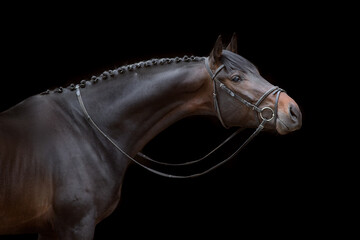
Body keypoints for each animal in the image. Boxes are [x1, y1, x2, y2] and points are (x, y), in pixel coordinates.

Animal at [0, 34, 300, 239]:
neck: (84, 129)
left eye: (257, 71)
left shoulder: (51, 229)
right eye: (236, 78)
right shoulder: (74, 226)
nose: (293, 110)